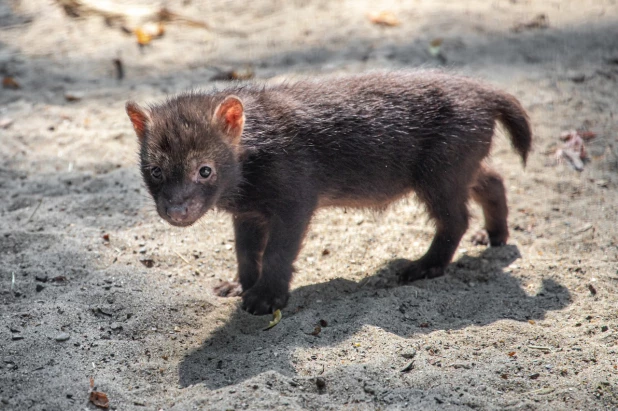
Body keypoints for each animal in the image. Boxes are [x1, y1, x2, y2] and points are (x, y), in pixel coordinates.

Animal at [125, 71, 528, 316]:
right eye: (156, 170)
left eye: (204, 169)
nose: (176, 211)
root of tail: (484, 91)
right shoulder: (249, 212)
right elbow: (245, 251)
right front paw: (237, 286)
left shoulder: (295, 201)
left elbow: (277, 253)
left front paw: (265, 299)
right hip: (459, 168)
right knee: (494, 181)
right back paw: (493, 237)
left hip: (440, 175)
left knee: (455, 219)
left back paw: (422, 267)